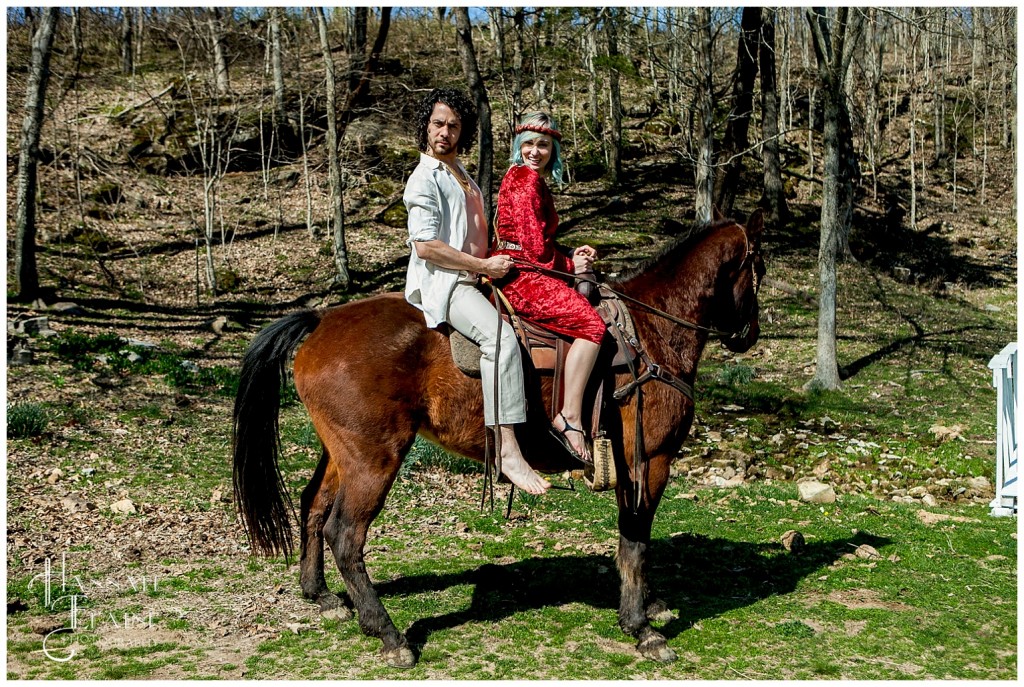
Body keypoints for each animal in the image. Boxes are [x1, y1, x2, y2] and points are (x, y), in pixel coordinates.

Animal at [230, 209, 761, 667]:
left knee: (313, 506)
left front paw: (650, 606)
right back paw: (389, 634)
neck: (651, 331)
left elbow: (637, 540)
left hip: (341, 454)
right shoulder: (647, 460)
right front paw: (640, 626)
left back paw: (320, 594)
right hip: (373, 460)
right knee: (345, 534)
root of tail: (322, 320)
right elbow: (636, 541)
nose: (750, 334)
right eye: (759, 266)